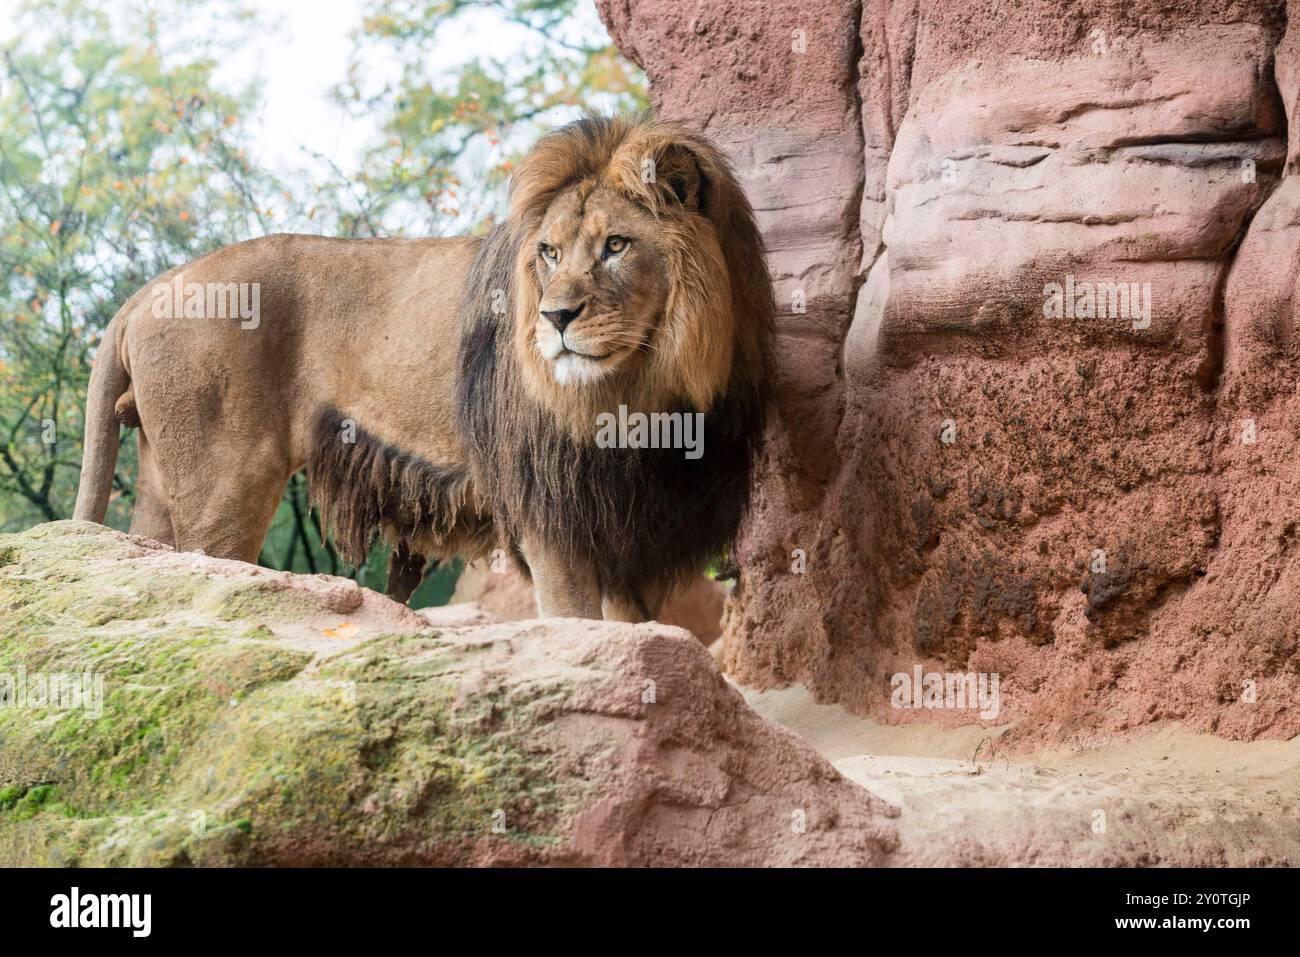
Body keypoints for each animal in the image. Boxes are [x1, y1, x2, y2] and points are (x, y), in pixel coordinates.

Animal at [73, 113, 769, 621]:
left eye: (617, 246)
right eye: (549, 252)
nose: (554, 317)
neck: (647, 390)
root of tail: (149, 289)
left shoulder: (629, 521)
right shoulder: (549, 511)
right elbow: (577, 623)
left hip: (162, 478)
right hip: (226, 485)